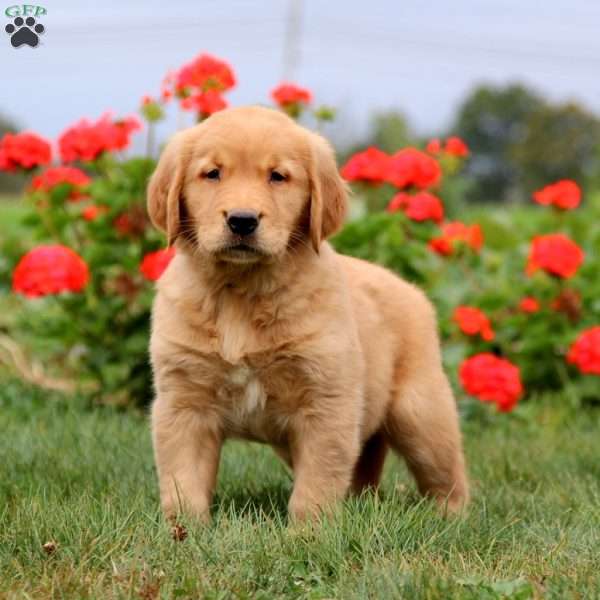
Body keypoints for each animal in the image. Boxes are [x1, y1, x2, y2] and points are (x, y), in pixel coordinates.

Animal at [145, 105, 468, 524]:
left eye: (278, 176)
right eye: (212, 173)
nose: (242, 220)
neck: (242, 291)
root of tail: (410, 288)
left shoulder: (326, 405)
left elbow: (316, 483)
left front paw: (308, 532)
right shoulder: (184, 404)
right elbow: (183, 478)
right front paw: (184, 530)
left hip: (421, 412)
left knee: (447, 472)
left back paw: (450, 517)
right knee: (365, 460)